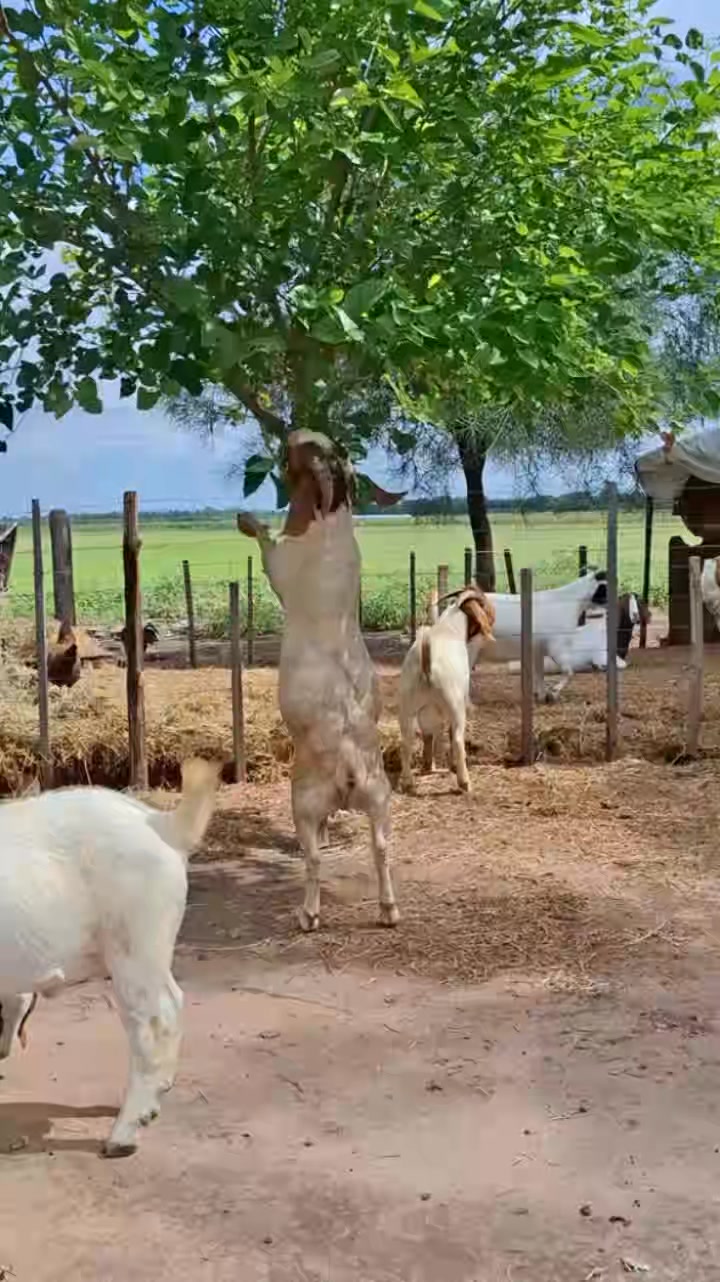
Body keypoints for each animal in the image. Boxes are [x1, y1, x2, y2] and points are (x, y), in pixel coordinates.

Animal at [0, 758, 220, 1157]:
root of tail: (161, 824)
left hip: (133, 943)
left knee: (153, 1018)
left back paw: (123, 1136)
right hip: (150, 947)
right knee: (173, 1001)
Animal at [237, 429, 403, 933]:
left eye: (311, 448)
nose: (293, 434)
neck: (331, 524)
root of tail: (348, 764)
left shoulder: (281, 563)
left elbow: (267, 542)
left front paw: (246, 519)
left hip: (303, 802)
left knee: (312, 858)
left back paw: (308, 914)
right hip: (380, 796)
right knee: (381, 847)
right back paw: (389, 910)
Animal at [399, 587, 495, 794]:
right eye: (484, 604)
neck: (450, 627)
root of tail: (426, 659)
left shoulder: (426, 711)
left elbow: (428, 735)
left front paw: (428, 766)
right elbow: (451, 734)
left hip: (407, 706)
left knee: (406, 741)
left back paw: (408, 782)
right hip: (454, 704)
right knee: (458, 740)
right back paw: (464, 781)